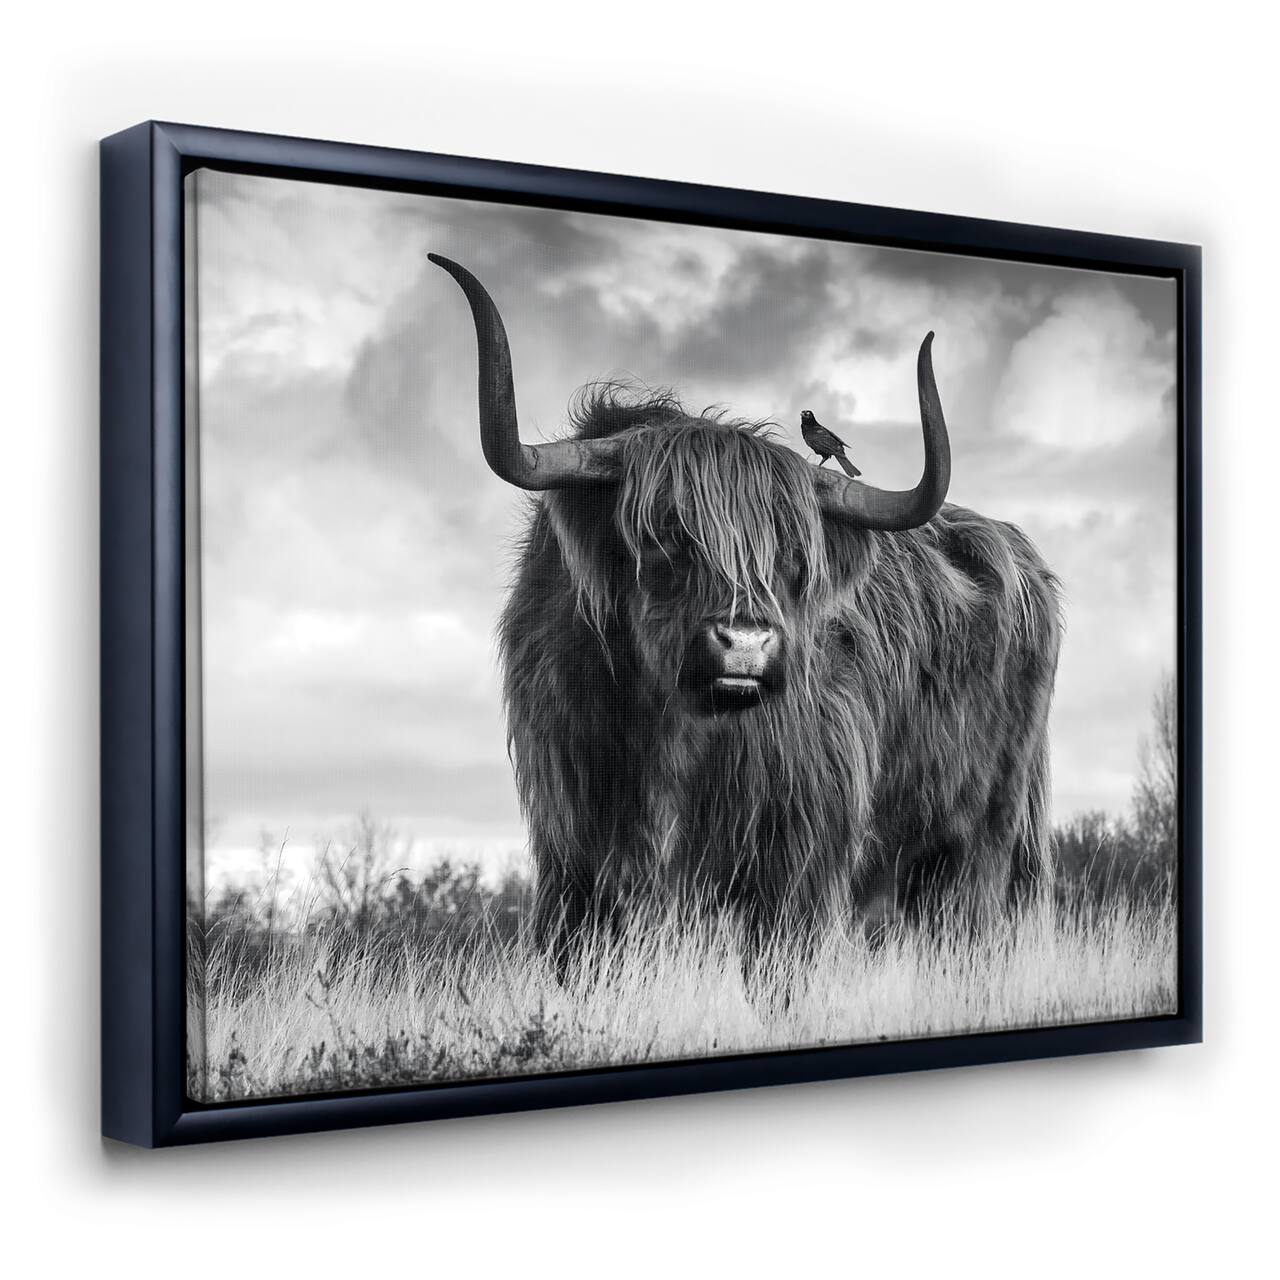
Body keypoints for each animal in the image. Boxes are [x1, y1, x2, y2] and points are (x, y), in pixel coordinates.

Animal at [429, 254, 1061, 970]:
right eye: (662, 536)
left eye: (792, 555)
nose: (746, 643)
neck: (670, 733)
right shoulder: (575, 849)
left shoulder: (799, 856)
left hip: (981, 839)